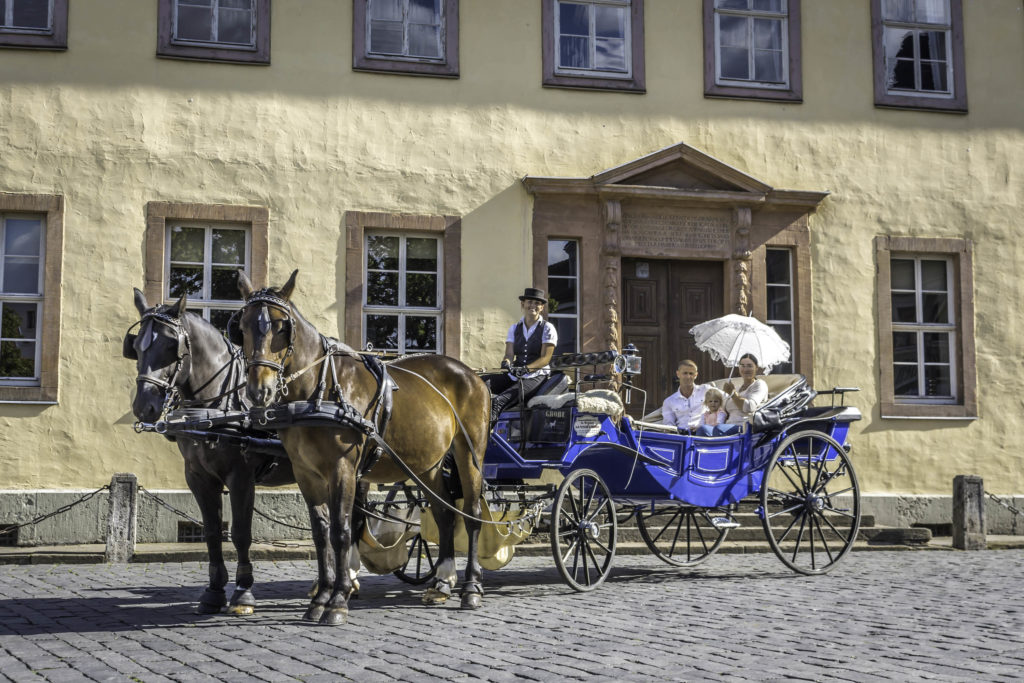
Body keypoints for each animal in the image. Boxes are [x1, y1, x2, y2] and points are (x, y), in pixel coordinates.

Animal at [126, 286, 321, 618]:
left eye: (171, 346)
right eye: (136, 346)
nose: (144, 407)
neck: (215, 408)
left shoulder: (241, 477)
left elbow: (241, 532)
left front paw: (243, 592)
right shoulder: (198, 477)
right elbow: (212, 532)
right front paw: (214, 592)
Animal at [234, 270, 489, 626]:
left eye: (282, 326)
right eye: (242, 327)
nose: (260, 391)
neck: (319, 390)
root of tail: (473, 374)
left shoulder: (343, 469)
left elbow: (342, 531)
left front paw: (338, 600)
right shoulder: (306, 473)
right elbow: (321, 533)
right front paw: (321, 598)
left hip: (469, 453)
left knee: (473, 514)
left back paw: (471, 588)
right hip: (428, 465)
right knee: (444, 512)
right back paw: (441, 582)